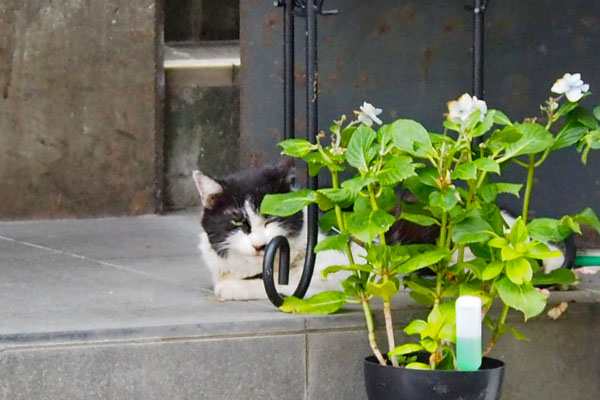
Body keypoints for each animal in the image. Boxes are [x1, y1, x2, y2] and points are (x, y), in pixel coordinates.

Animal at [192, 159, 564, 300]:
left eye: (271, 220)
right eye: (238, 222)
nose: (259, 245)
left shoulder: (338, 273)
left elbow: (273, 286)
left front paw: (236, 287)